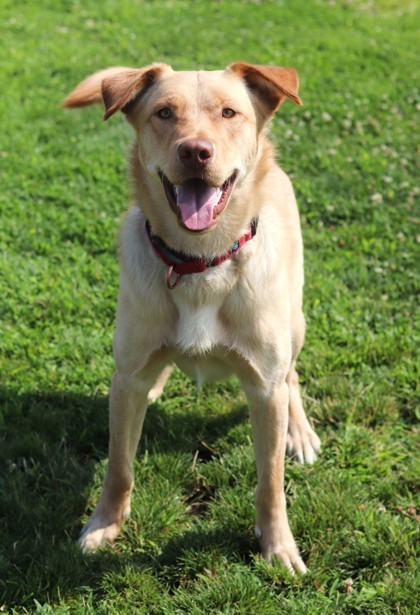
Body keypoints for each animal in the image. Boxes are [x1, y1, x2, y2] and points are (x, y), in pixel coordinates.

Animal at [62, 61, 320, 572]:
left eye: (229, 112)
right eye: (164, 112)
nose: (196, 151)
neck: (200, 262)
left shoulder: (265, 389)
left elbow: (270, 483)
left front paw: (278, 546)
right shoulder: (125, 381)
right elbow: (118, 467)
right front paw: (103, 526)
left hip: (294, 322)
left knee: (293, 375)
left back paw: (299, 432)